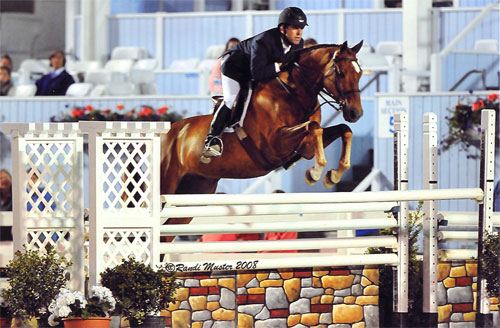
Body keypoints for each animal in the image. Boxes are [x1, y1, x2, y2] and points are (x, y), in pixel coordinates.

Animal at [160, 41, 364, 205]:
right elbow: (314, 128)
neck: (293, 93)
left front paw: (334, 174)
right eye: (340, 73)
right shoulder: (274, 146)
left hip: (196, 187)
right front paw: (315, 172)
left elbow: (343, 129)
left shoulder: (305, 147)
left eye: (360, 73)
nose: (356, 113)